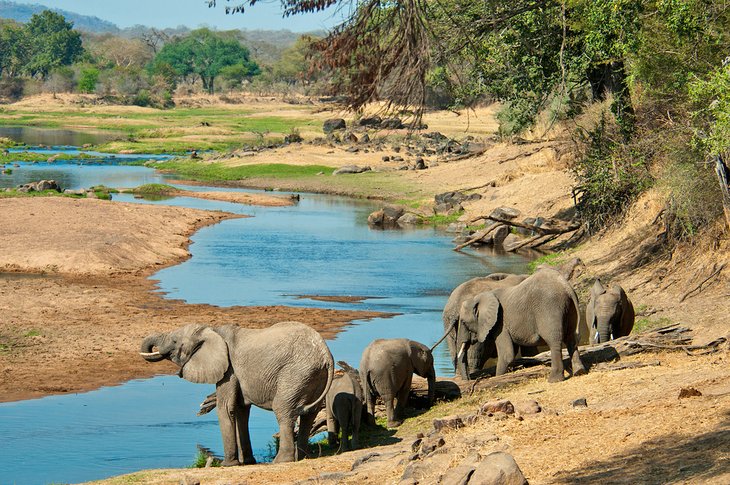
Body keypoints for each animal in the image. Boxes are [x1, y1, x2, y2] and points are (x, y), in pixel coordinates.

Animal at [139, 320, 332, 464]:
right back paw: (302, 457)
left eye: (174, 342)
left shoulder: (228, 369)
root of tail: (326, 355)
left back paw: (281, 461)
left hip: (295, 373)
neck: (212, 330)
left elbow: (225, 407)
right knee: (308, 415)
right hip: (312, 376)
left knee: (283, 410)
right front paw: (247, 462)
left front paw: (228, 464)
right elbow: (240, 409)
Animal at [456, 268, 584, 382]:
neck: (480, 297)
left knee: (554, 341)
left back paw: (554, 380)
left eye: (463, 322)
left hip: (549, 308)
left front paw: (498, 377)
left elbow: (507, 355)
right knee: (571, 338)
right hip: (570, 308)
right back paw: (579, 372)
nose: (470, 380)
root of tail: (565, 286)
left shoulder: (500, 324)